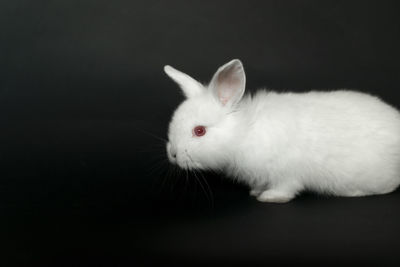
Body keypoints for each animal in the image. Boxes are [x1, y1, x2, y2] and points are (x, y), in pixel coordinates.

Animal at [162, 59, 400, 204]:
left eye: (199, 131)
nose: (173, 154)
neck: (245, 133)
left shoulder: (287, 173)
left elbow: (285, 188)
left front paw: (268, 198)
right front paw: (256, 192)